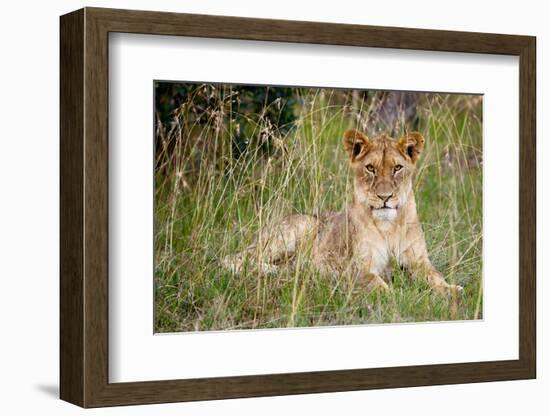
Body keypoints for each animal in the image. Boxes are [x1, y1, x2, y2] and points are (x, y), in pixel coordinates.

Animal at [222, 128, 464, 294]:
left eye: (397, 168)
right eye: (370, 168)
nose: (385, 197)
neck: (389, 226)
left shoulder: (419, 261)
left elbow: (435, 276)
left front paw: (451, 290)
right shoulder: (356, 266)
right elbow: (378, 285)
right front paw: (395, 295)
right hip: (298, 228)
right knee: (233, 258)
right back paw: (282, 271)